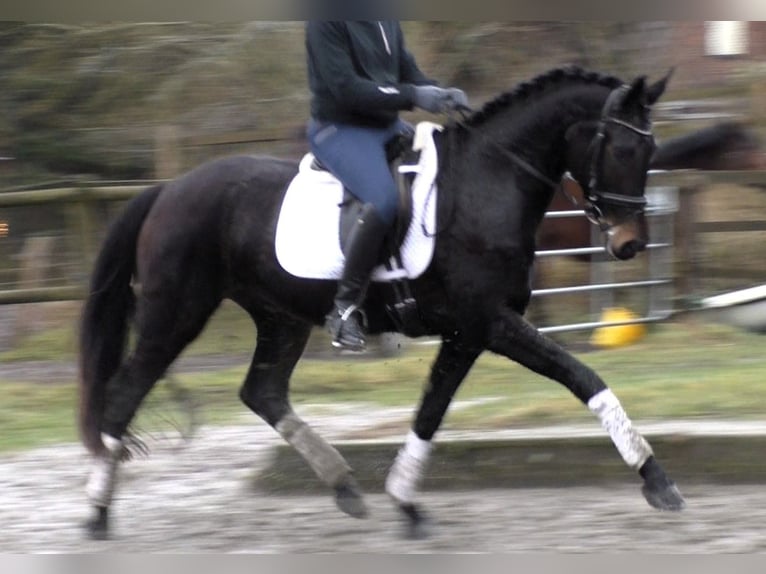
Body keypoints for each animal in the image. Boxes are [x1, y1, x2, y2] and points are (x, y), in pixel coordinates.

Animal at [81, 65, 688, 544]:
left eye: (650, 150)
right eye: (622, 148)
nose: (628, 244)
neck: (487, 185)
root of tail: (169, 189)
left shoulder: (467, 334)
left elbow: (430, 413)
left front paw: (406, 501)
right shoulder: (492, 323)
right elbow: (583, 376)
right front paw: (657, 481)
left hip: (279, 318)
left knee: (262, 391)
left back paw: (345, 486)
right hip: (175, 315)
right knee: (124, 395)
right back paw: (96, 513)